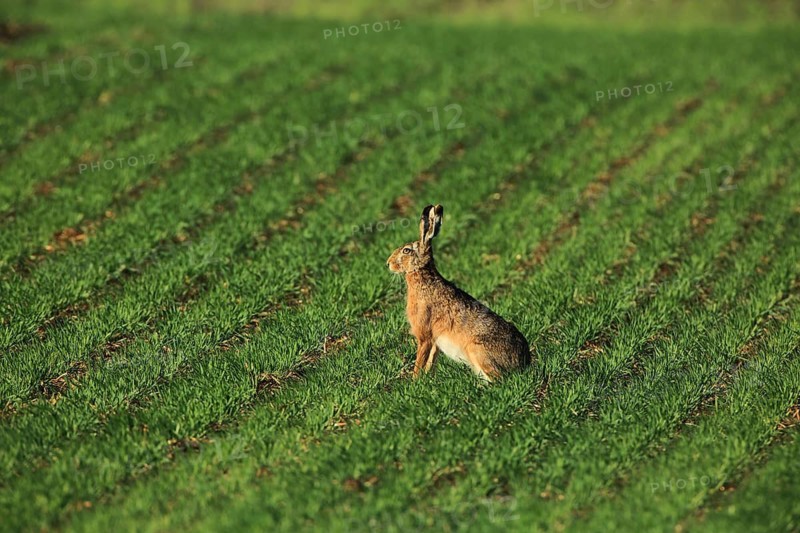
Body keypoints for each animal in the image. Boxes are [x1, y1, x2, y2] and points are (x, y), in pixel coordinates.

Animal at [386, 204, 531, 381]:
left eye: (406, 250)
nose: (388, 264)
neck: (423, 277)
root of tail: (523, 361)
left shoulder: (424, 335)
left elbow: (420, 360)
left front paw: (414, 381)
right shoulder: (435, 341)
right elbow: (431, 360)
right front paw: (426, 379)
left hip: (477, 350)